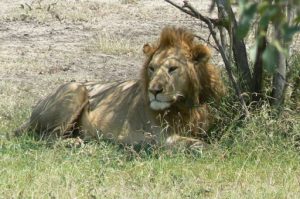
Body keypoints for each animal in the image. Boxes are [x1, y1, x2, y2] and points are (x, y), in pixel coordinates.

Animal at [15, 26, 224, 148]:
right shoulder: (158, 136)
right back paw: (74, 143)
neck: (184, 106)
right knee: (47, 138)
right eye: (152, 68)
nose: (154, 91)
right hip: (76, 88)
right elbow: (197, 144)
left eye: (172, 69)